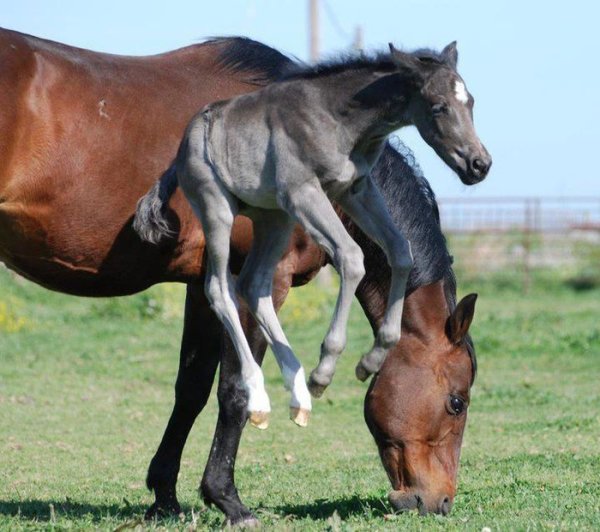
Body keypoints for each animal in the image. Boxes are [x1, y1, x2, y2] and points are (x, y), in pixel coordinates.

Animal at [142, 41, 492, 428]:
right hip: (218, 209)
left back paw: (298, 394)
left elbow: (401, 251)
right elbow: (352, 258)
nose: (479, 164)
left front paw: (372, 358)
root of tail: (184, 142)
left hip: (274, 219)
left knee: (254, 284)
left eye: (470, 102)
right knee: (220, 289)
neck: (338, 119)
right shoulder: (304, 193)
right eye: (439, 106)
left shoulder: (355, 190)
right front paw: (325, 370)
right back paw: (263, 395)